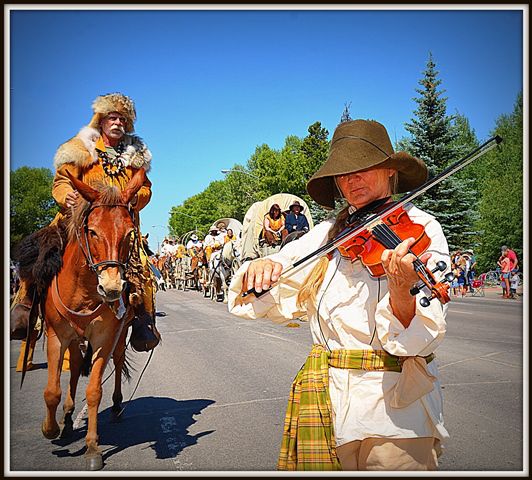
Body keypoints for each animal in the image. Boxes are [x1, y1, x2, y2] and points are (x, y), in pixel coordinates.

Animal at [40, 168, 147, 468]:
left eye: (129, 233)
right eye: (92, 231)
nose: (112, 288)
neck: (84, 292)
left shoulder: (104, 337)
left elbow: (94, 391)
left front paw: (91, 447)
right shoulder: (57, 336)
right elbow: (52, 390)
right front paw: (50, 429)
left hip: (119, 336)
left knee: (116, 362)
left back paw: (117, 406)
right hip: (74, 340)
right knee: (75, 368)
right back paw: (66, 418)